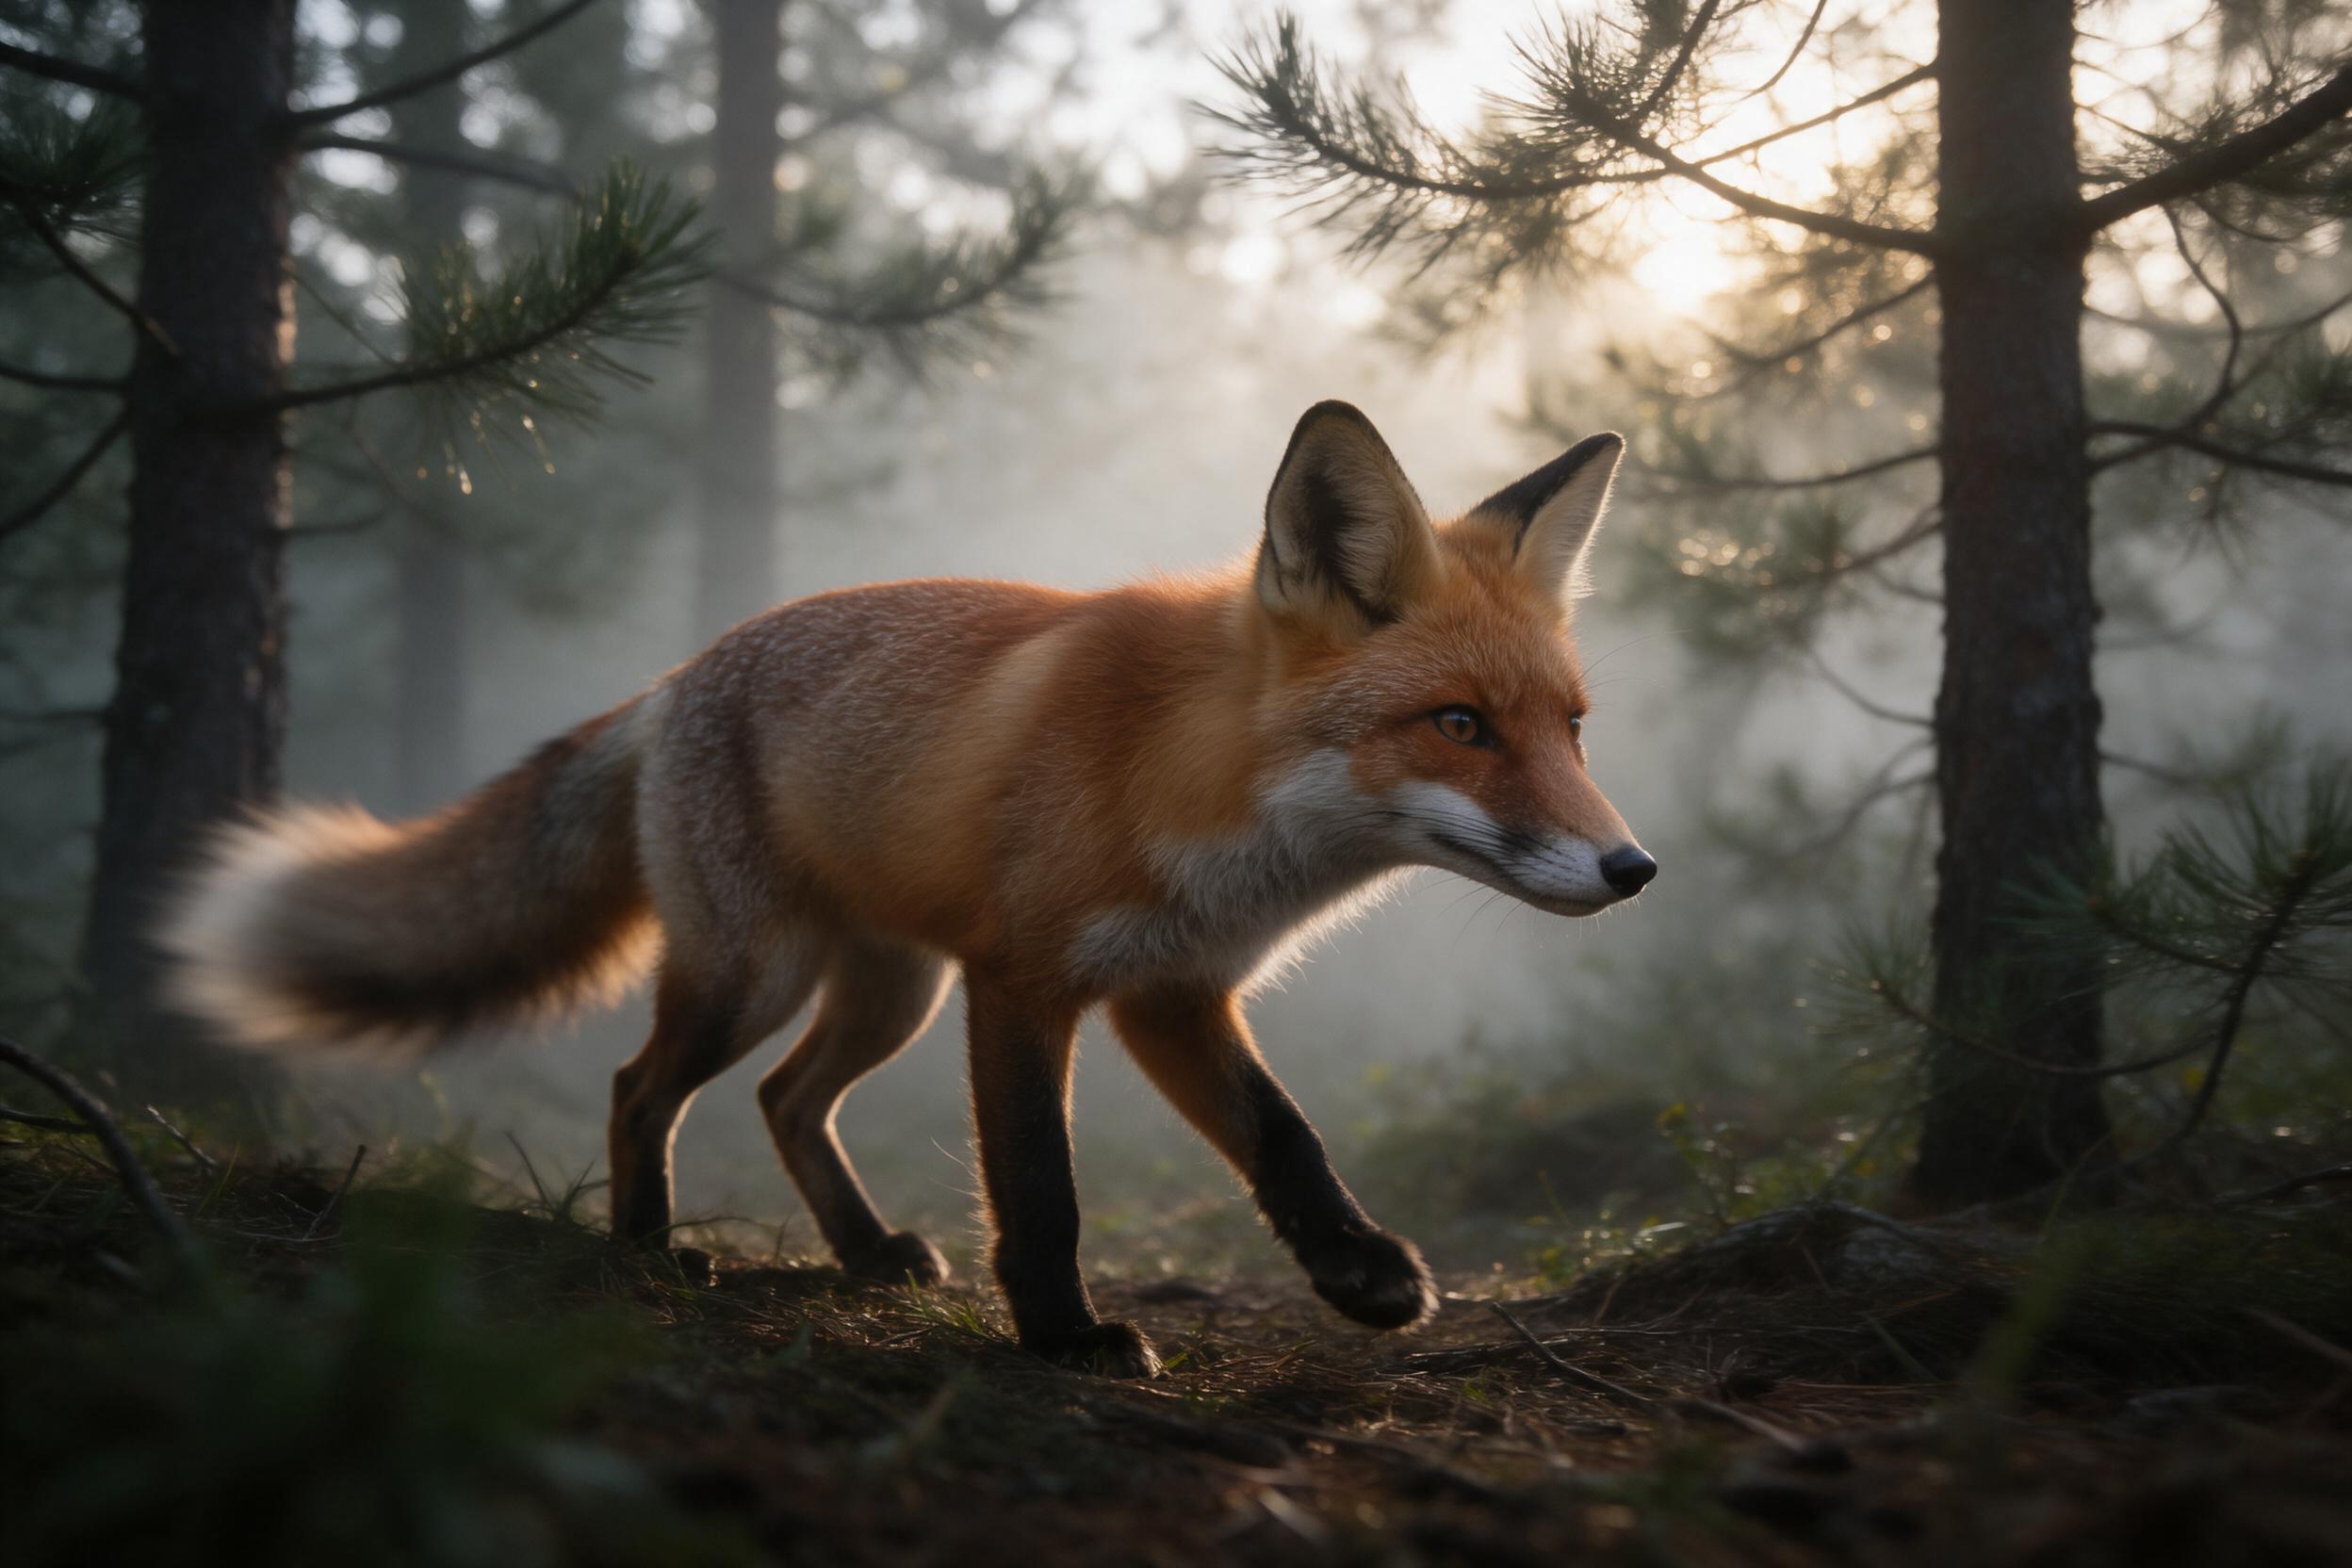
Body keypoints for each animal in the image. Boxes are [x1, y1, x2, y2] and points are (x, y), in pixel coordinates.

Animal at [160, 401, 1656, 1377]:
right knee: (642, 1088)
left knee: (784, 1100)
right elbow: (1040, 1185)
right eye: (1461, 725)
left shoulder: (1172, 993)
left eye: (1574, 731)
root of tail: (676, 676)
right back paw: (648, 1248)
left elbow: (1287, 1139)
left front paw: (1358, 1274)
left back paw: (867, 1250)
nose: (1633, 868)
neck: (1200, 788)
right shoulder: (1025, 982)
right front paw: (1063, 1337)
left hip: (889, 991)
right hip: (759, 975)